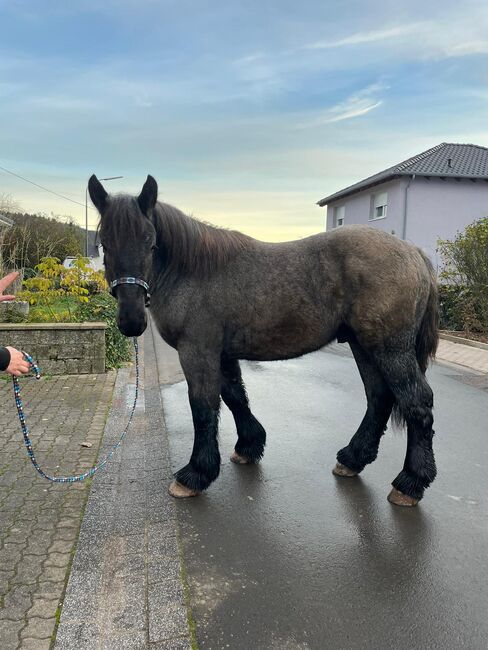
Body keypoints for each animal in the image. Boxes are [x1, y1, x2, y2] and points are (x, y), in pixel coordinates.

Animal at [89, 173, 440, 506]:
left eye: (150, 243)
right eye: (105, 243)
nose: (131, 320)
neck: (193, 270)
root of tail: (414, 253)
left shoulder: (197, 352)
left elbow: (203, 406)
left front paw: (196, 474)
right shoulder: (222, 354)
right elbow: (234, 397)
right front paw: (249, 446)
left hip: (390, 349)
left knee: (416, 402)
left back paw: (410, 482)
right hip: (363, 345)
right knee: (379, 398)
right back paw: (353, 459)